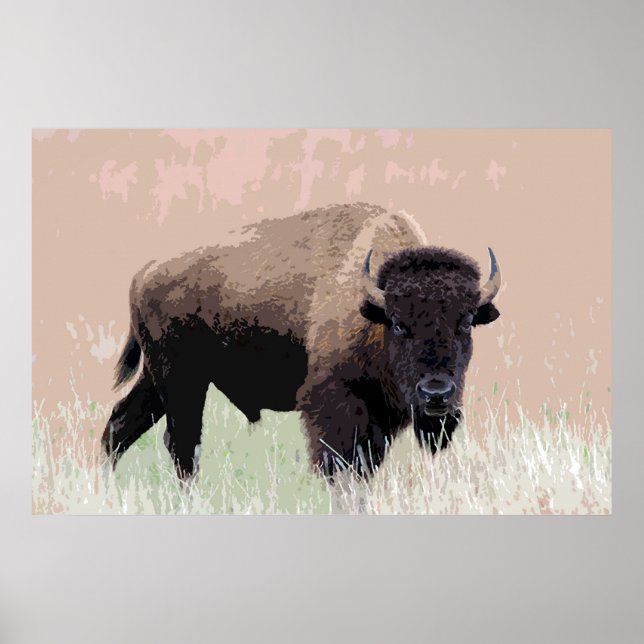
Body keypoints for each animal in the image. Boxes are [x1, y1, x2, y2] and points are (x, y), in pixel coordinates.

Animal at [102, 203, 501, 480]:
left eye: (466, 322)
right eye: (399, 325)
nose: (437, 394)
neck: (372, 303)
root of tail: (145, 271)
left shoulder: (379, 417)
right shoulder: (335, 406)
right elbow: (339, 465)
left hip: (158, 379)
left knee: (119, 427)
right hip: (181, 381)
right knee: (182, 445)